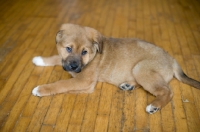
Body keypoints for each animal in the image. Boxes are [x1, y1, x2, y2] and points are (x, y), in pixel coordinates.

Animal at [31, 23, 200, 113]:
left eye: (84, 52)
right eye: (68, 48)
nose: (74, 66)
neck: (93, 56)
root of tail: (172, 59)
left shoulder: (83, 81)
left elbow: (61, 84)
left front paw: (41, 89)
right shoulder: (66, 61)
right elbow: (56, 58)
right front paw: (40, 60)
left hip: (141, 68)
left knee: (167, 91)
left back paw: (154, 106)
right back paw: (128, 85)